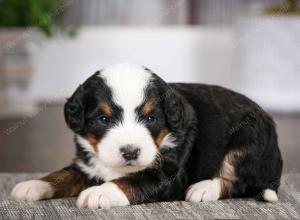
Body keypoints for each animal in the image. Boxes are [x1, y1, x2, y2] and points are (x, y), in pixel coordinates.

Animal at [11, 63, 284, 208]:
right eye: (104, 119)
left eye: (150, 119)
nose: (130, 152)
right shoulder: (87, 164)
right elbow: (62, 174)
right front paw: (32, 185)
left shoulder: (168, 173)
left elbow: (132, 182)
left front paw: (100, 193)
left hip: (247, 140)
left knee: (240, 182)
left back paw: (203, 188)